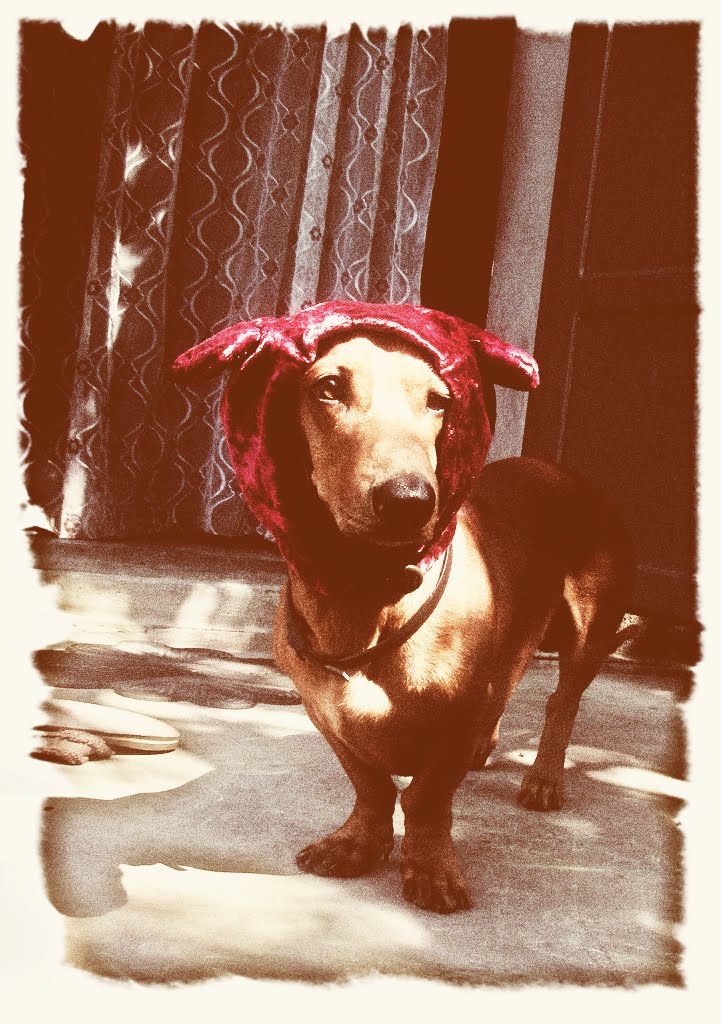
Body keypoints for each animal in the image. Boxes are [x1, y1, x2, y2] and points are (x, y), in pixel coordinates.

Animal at [175, 302, 632, 914]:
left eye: (439, 401)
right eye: (328, 388)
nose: (409, 502)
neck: (367, 593)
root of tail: (557, 468)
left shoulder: (452, 726)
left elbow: (426, 799)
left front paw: (430, 866)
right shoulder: (326, 715)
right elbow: (371, 788)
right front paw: (358, 843)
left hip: (588, 628)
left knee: (561, 702)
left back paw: (544, 777)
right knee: (510, 679)